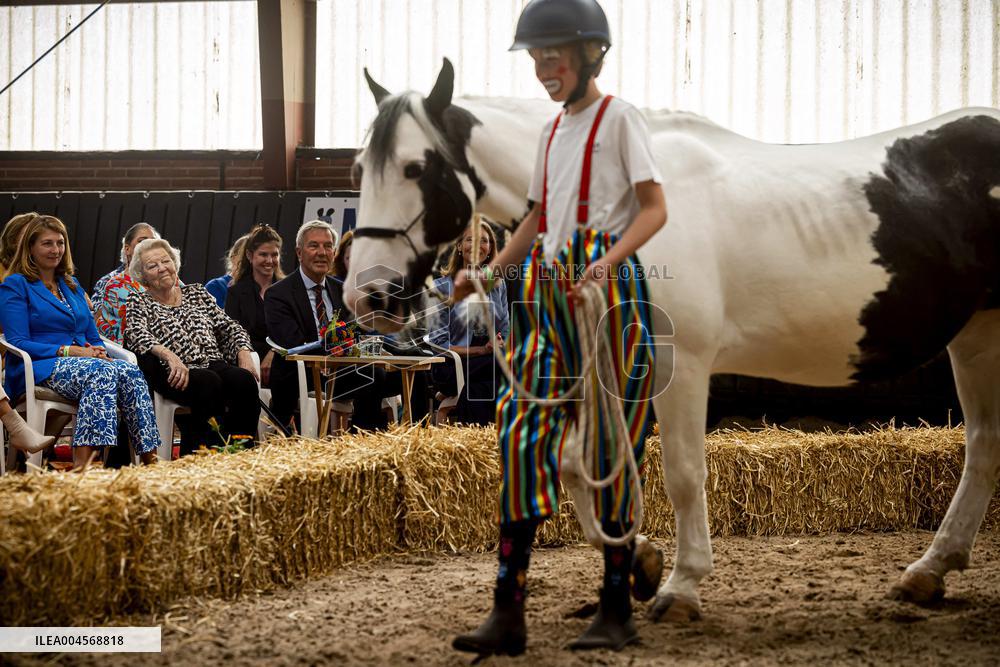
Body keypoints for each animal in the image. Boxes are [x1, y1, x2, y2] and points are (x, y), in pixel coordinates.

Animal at [344, 57, 1000, 622]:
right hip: (976, 337)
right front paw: (639, 560)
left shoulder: (677, 364)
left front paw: (682, 585)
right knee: (983, 445)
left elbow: (682, 472)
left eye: (415, 168)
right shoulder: (608, 363)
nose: (368, 296)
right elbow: (581, 465)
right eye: (359, 169)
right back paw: (929, 571)